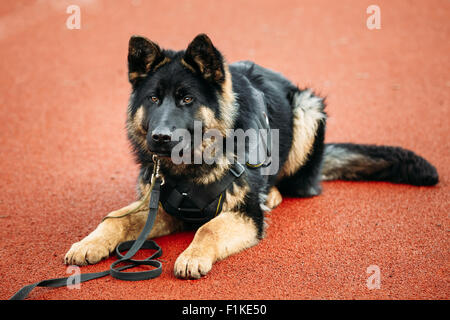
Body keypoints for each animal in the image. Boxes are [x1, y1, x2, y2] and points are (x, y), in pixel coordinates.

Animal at [65, 34, 438, 278]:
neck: (190, 169)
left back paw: (271, 194)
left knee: (296, 184)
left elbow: (209, 229)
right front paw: (89, 243)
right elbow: (117, 218)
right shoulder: (165, 208)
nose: (160, 138)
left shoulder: (245, 215)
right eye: (154, 99)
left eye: (187, 99)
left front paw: (192, 256)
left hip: (307, 108)